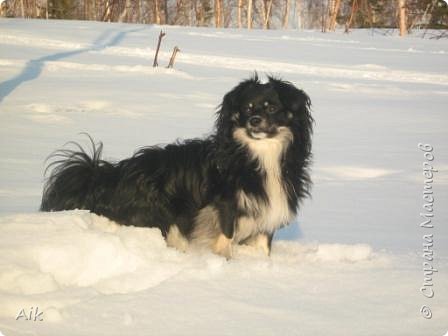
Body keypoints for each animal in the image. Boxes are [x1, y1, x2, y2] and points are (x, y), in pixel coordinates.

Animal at [43, 75, 316, 258]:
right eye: (247, 109)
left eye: (272, 107)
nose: (255, 120)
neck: (259, 156)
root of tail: (106, 177)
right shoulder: (225, 202)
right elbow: (226, 235)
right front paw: (223, 262)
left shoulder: (270, 207)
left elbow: (264, 244)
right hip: (158, 212)